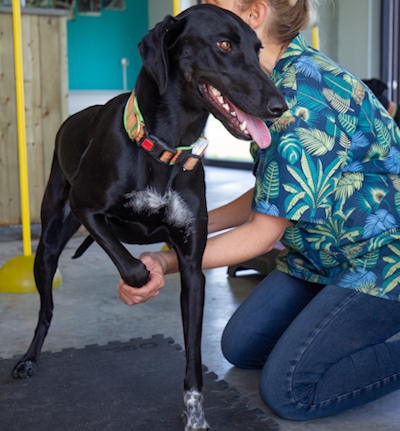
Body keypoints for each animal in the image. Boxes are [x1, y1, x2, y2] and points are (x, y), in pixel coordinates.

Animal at [13, 4, 288, 431]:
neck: (166, 146)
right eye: (224, 45)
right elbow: (132, 267)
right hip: (48, 247)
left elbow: (193, 359)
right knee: (46, 310)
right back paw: (29, 360)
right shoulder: (86, 208)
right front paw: (143, 279)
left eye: (258, 49)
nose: (280, 107)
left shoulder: (192, 267)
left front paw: (195, 417)